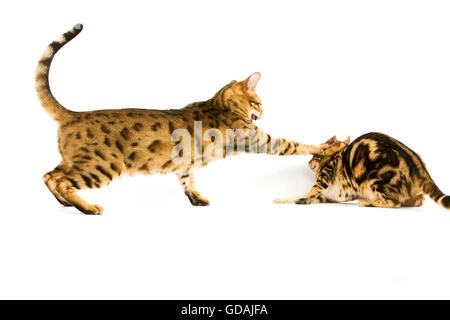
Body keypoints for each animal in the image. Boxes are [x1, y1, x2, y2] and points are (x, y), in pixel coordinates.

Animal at [35, 24, 326, 215]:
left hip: (76, 161)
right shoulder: (259, 139)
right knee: (62, 180)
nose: (264, 113)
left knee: (49, 175)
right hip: (102, 166)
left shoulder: (185, 162)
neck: (219, 104)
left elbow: (187, 180)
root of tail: (73, 114)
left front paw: (197, 200)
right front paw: (322, 146)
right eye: (259, 103)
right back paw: (86, 208)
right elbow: (293, 143)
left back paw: (65, 203)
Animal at [274, 131, 450, 209]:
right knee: (418, 202)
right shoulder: (331, 196)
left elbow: (311, 191)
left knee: (394, 203)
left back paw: (367, 202)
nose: (309, 163)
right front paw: (283, 199)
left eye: (314, 155)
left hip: (375, 176)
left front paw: (301, 198)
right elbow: (299, 197)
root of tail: (423, 172)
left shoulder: (324, 178)